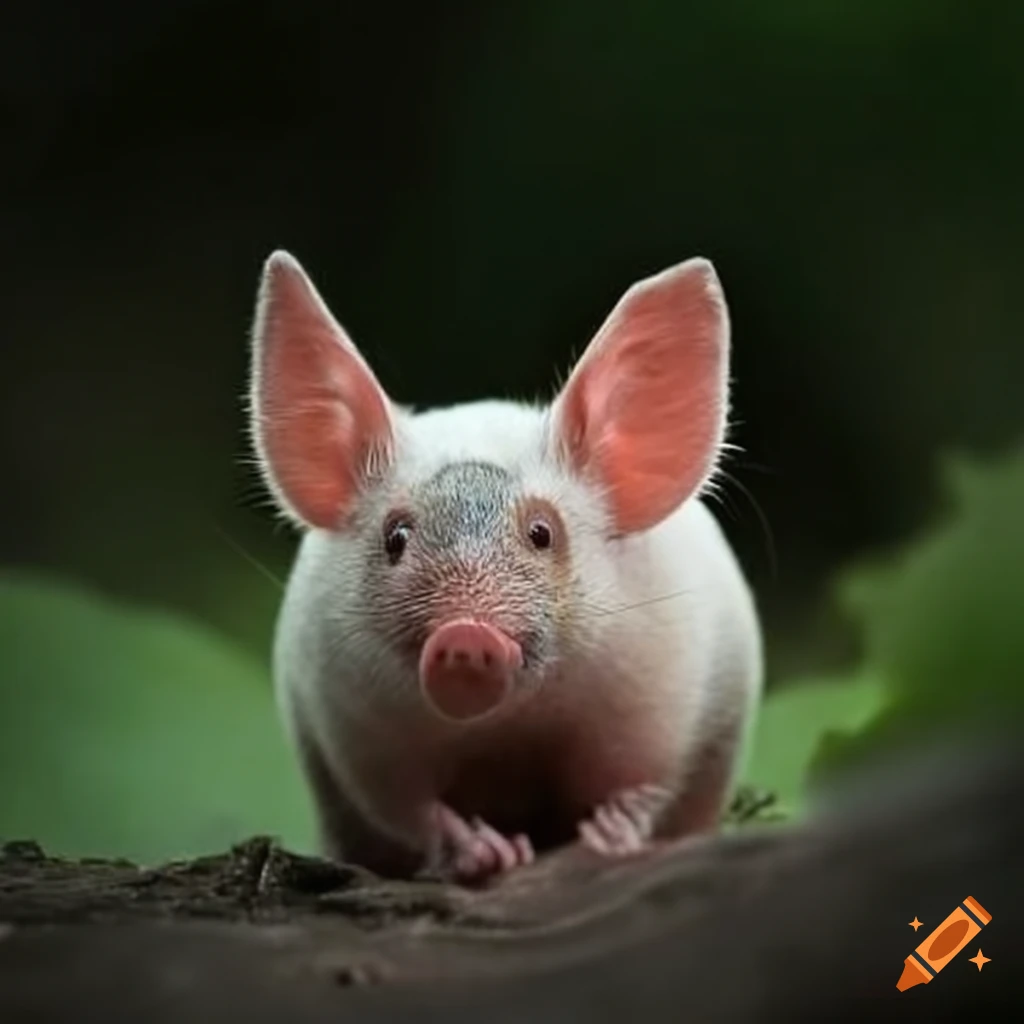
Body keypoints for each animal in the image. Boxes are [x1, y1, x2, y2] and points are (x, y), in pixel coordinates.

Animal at [247, 250, 763, 883]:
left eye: (542, 533)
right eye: (396, 537)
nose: (466, 636)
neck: (508, 730)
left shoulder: (661, 705)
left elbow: (644, 787)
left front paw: (608, 837)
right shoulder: (356, 734)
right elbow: (414, 809)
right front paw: (489, 853)